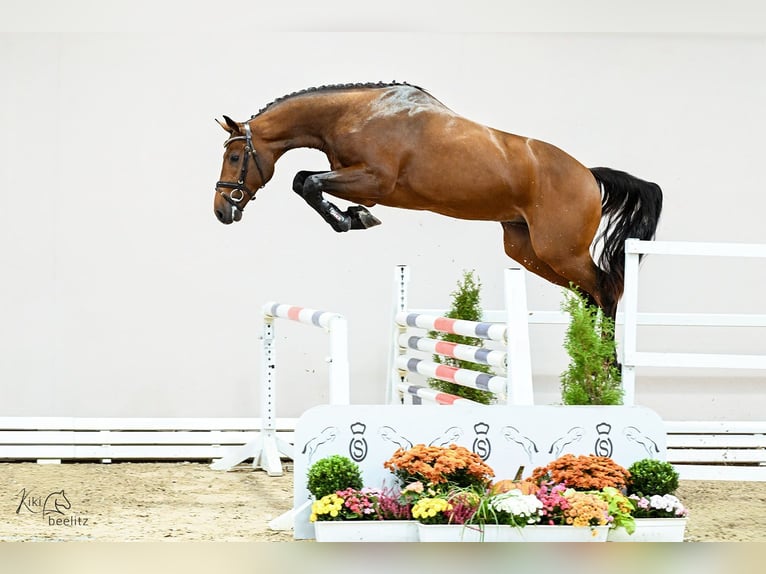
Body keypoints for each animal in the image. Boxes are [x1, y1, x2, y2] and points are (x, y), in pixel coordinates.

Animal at [213, 82, 662, 320]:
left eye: (234, 157)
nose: (221, 210)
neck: (356, 115)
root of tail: (588, 174)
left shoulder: (373, 182)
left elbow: (305, 183)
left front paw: (352, 219)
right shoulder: (357, 182)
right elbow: (305, 182)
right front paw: (352, 217)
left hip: (560, 250)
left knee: (606, 289)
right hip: (527, 250)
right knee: (590, 294)